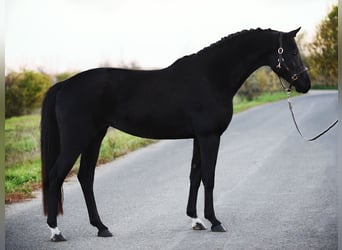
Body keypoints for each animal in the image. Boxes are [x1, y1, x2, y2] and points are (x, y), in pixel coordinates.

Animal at [40, 27, 310, 242]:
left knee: (86, 177)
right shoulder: (209, 137)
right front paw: (215, 221)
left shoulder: (199, 138)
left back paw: (101, 227)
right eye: (292, 52)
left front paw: (196, 220)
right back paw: (56, 231)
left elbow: (195, 175)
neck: (211, 77)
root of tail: (64, 85)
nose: (306, 84)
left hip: (94, 137)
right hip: (77, 140)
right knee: (56, 176)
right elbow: (209, 177)